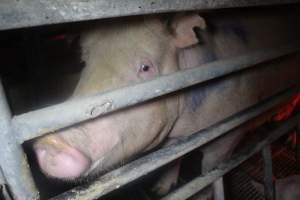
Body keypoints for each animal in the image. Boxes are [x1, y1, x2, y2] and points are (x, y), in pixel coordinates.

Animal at [33, 9, 300, 195]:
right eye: (85, 65)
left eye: (146, 67)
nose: (52, 143)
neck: (186, 128)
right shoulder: (171, 141)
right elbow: (173, 160)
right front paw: (160, 190)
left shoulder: (230, 131)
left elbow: (210, 170)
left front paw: (204, 191)